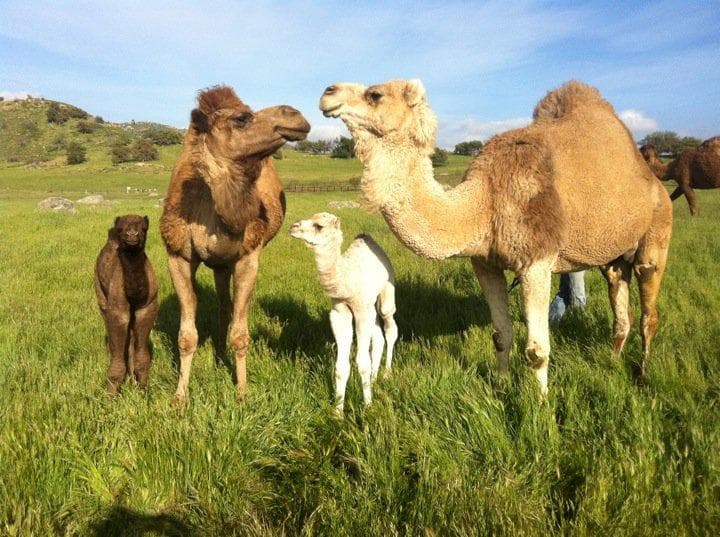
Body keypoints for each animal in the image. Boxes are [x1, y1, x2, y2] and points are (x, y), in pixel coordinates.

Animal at [94, 214, 158, 393]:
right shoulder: (118, 310)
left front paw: (143, 390)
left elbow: (142, 357)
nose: (132, 234)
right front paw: (110, 395)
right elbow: (117, 362)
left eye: (143, 228)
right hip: (101, 296)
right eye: (121, 229)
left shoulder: (147, 307)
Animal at [160, 86, 310, 401]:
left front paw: (242, 392)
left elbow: (240, 334)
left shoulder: (247, 256)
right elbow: (186, 336)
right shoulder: (177, 255)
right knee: (222, 305)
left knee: (227, 307)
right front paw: (180, 397)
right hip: (217, 264)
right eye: (242, 118)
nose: (296, 115)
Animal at [290, 212, 398, 413]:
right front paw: (338, 411)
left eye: (319, 225)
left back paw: (386, 374)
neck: (346, 282)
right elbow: (341, 367)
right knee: (378, 338)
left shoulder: (361, 311)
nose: (293, 226)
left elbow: (362, 362)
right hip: (370, 307)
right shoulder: (340, 312)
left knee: (390, 327)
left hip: (387, 291)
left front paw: (368, 407)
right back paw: (374, 378)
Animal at [320, 79, 672, 394]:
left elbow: (536, 350)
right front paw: (500, 387)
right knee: (619, 296)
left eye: (375, 94)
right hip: (614, 254)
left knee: (649, 308)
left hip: (658, 228)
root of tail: (651, 179)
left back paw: (642, 373)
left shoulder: (536, 262)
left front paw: (539, 408)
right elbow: (501, 335)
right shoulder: (485, 264)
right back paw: (613, 362)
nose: (328, 92)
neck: (484, 201)